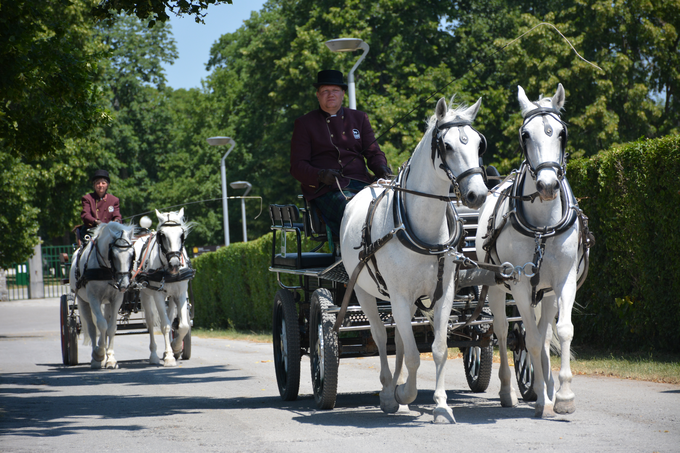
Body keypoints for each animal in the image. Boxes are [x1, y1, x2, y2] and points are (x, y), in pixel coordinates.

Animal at [70, 222, 137, 368]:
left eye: (132, 255)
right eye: (114, 255)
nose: (124, 284)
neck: (106, 269)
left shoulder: (116, 299)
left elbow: (111, 328)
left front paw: (110, 359)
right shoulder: (94, 298)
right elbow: (101, 325)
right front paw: (99, 354)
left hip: (106, 303)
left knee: (105, 324)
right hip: (83, 301)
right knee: (92, 327)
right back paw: (95, 358)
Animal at [133, 207, 195, 366]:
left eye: (181, 234)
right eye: (162, 235)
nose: (175, 264)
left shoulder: (180, 293)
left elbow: (183, 325)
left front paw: (176, 347)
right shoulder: (158, 295)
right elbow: (165, 325)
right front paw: (169, 357)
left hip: (171, 296)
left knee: (172, 317)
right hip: (145, 295)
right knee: (150, 322)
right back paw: (154, 356)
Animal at [340, 97, 488, 422]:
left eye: (478, 144)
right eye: (447, 146)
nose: (477, 194)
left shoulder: (443, 293)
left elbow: (438, 348)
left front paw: (441, 405)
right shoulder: (399, 295)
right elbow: (410, 354)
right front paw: (403, 393)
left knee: (397, 336)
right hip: (365, 292)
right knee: (381, 336)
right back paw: (388, 390)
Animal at [476, 85, 592, 416]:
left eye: (561, 133)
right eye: (525, 134)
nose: (548, 185)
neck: (542, 227)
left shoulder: (564, 281)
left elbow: (561, 332)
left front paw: (562, 396)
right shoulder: (519, 285)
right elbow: (530, 340)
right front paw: (542, 397)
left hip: (547, 292)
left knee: (543, 329)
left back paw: (548, 388)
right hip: (497, 288)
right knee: (503, 331)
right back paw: (509, 391)